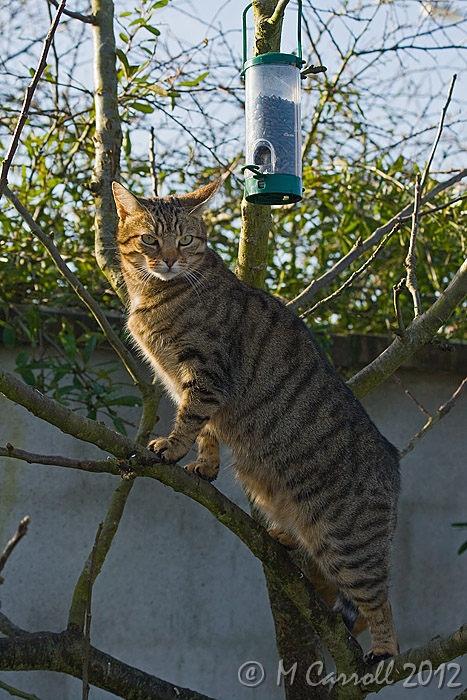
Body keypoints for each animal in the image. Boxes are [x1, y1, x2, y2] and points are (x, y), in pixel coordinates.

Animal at [111, 180, 400, 660]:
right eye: (150, 239)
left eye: (185, 240)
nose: (168, 260)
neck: (153, 294)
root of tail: (395, 464)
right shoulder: (185, 382)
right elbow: (206, 428)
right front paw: (204, 465)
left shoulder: (206, 373)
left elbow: (191, 418)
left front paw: (171, 447)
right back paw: (285, 535)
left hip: (349, 543)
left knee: (380, 599)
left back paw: (386, 649)